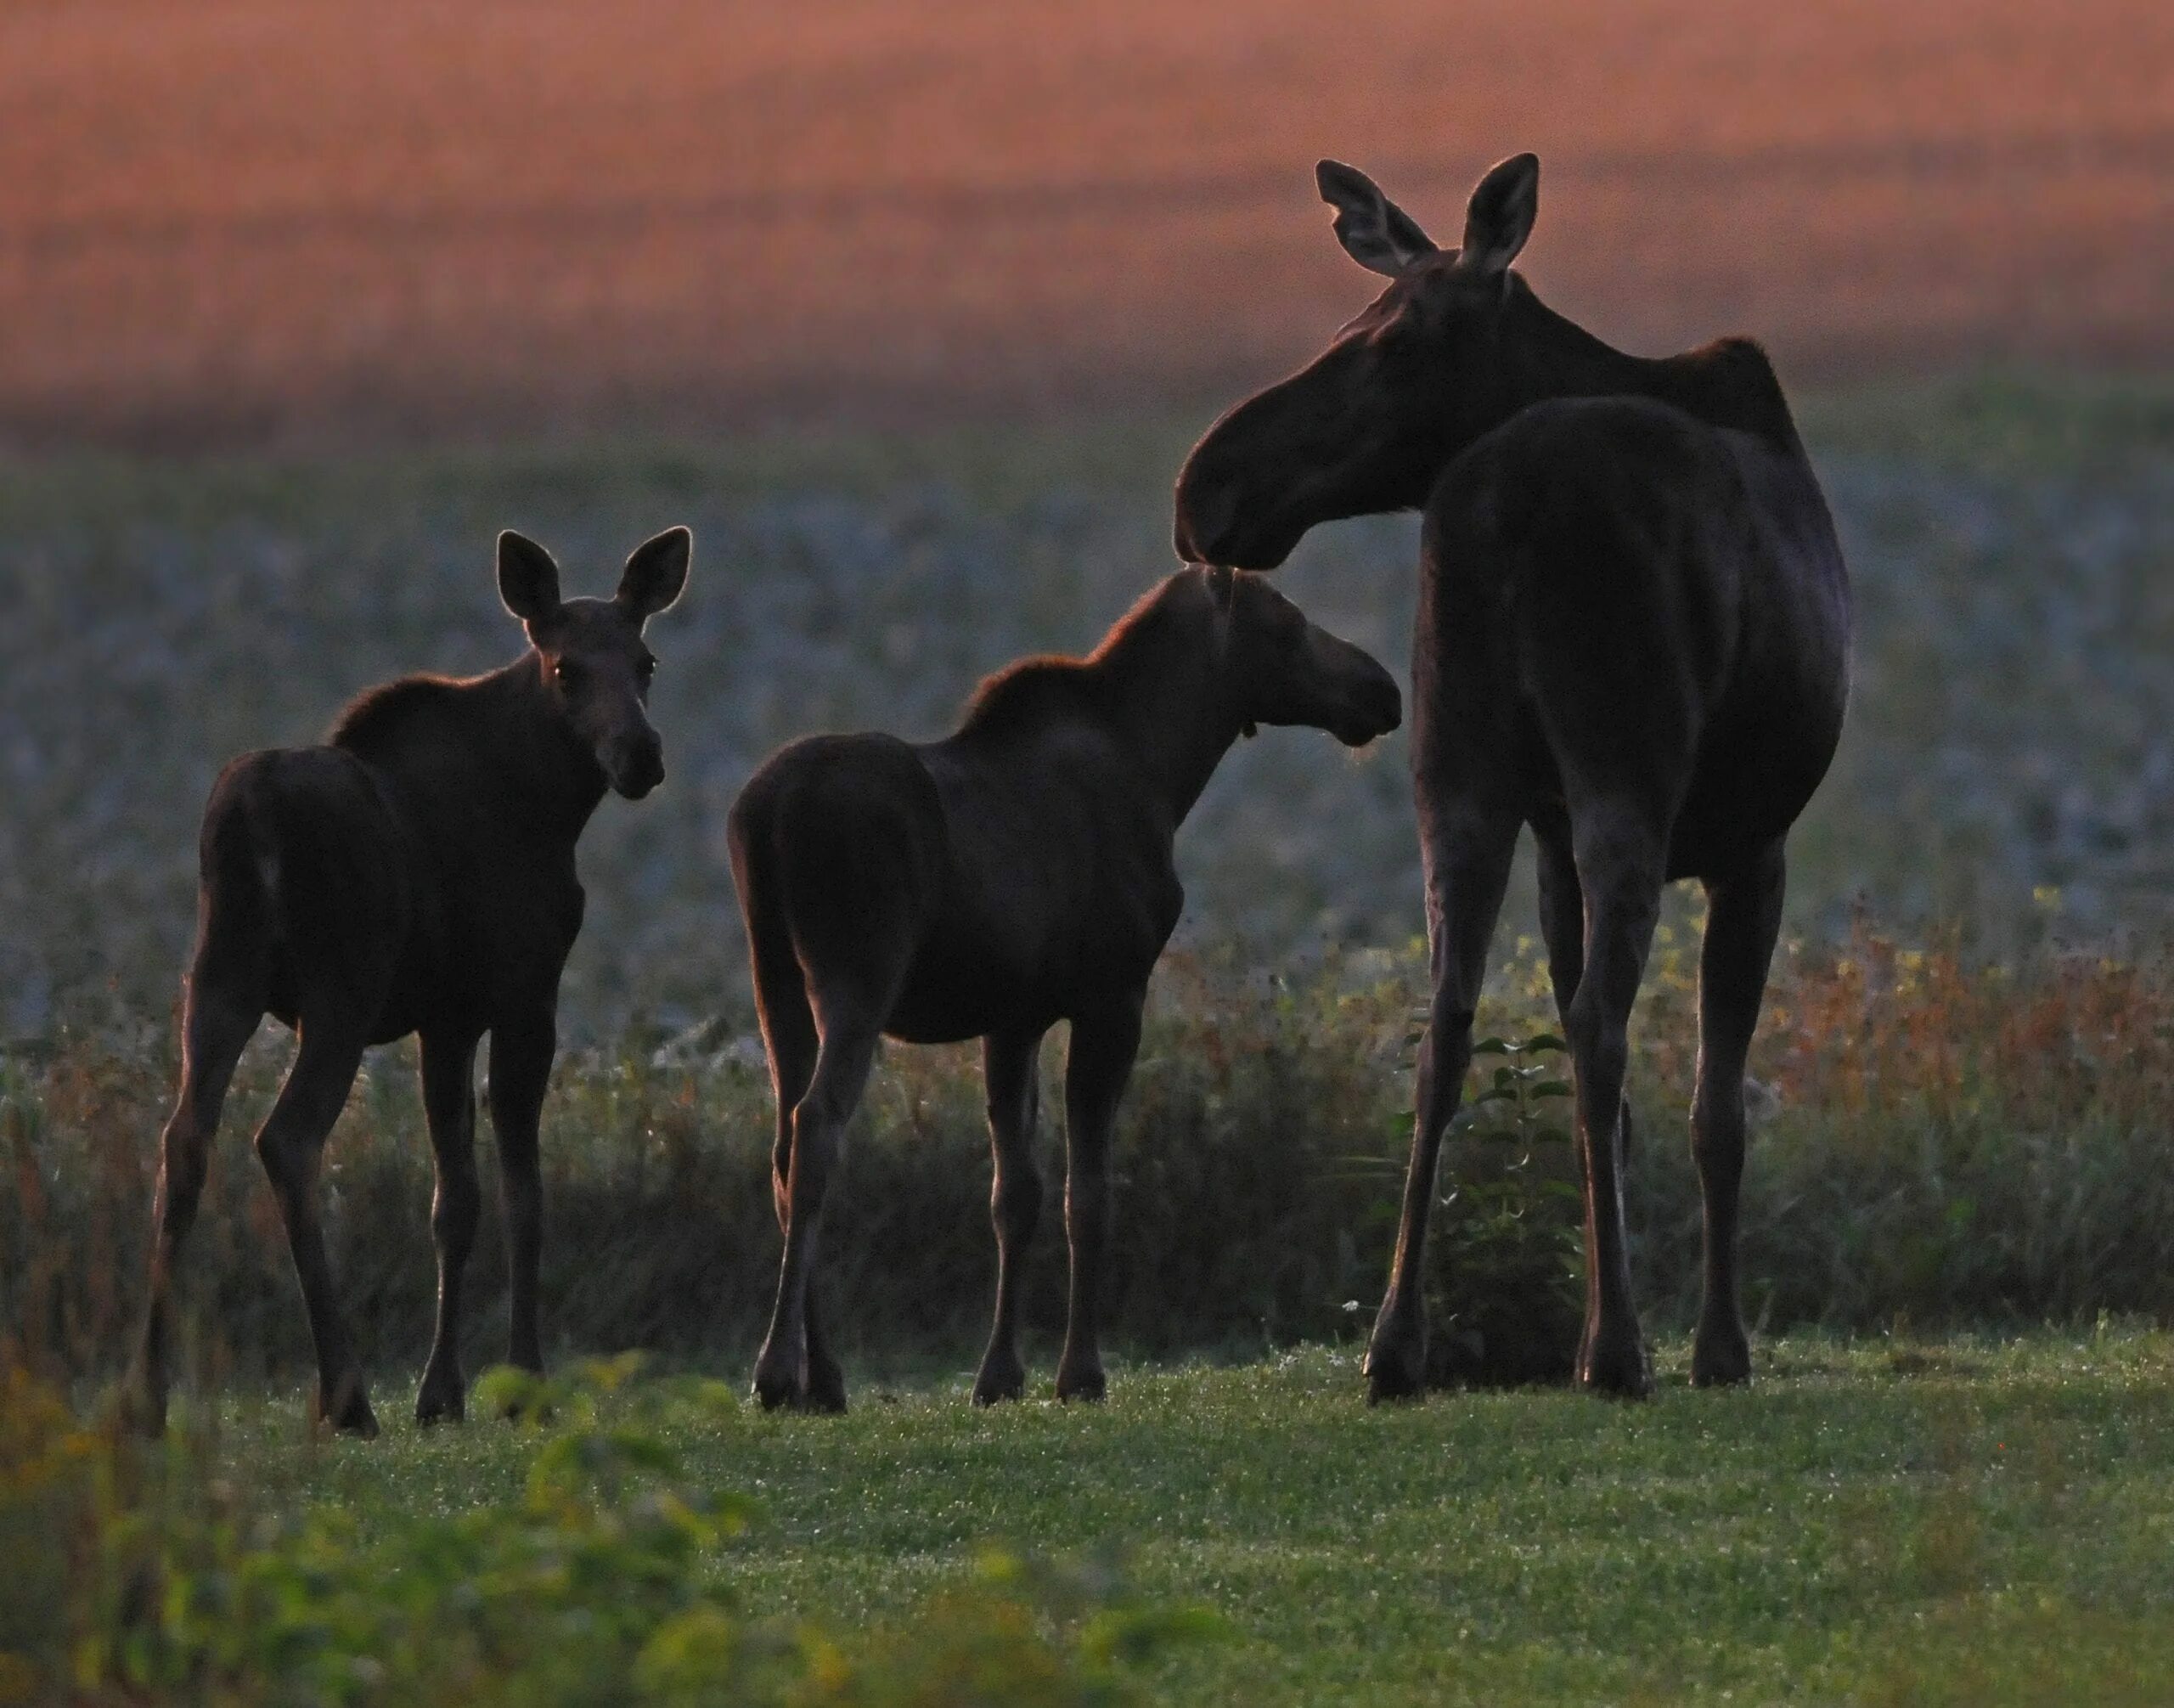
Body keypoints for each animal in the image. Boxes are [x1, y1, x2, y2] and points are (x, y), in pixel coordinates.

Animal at [131, 526, 691, 1434]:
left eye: (646, 661)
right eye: (565, 667)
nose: (640, 754)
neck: (549, 807)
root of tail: (250, 818)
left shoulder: (447, 1015)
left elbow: (453, 1201)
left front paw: (444, 1391)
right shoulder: (525, 992)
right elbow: (524, 1195)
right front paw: (522, 1382)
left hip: (218, 976)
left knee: (185, 1140)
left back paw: (145, 1396)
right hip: (342, 987)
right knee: (287, 1137)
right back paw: (345, 1393)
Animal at [730, 565, 1391, 1407]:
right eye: (1288, 621)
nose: (1382, 689)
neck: (1166, 771)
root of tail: (765, 815)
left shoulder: (1012, 1018)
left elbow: (1016, 1194)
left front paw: (1001, 1373)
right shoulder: (1113, 996)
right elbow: (1090, 1193)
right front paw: (1081, 1370)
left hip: (775, 976)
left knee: (784, 1143)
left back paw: (828, 1375)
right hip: (857, 974)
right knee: (816, 1130)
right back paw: (780, 1368)